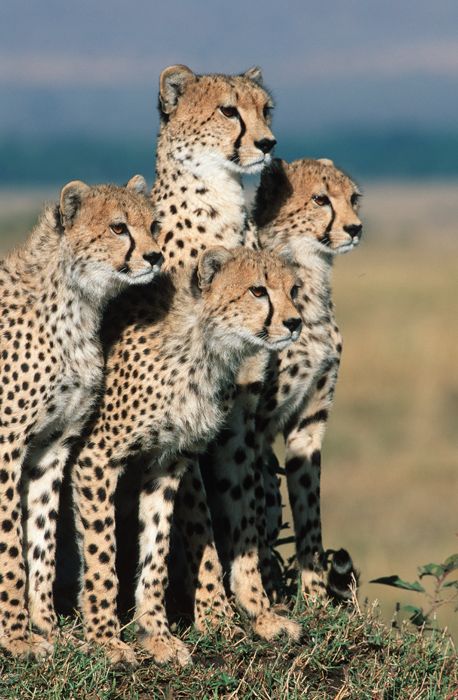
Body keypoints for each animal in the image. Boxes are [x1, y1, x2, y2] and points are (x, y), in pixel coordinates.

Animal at [0, 178, 164, 660]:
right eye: (118, 228)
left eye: (153, 225)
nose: (155, 256)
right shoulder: (6, 444)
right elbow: (11, 545)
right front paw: (17, 637)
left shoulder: (52, 446)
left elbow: (42, 538)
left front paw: (46, 627)